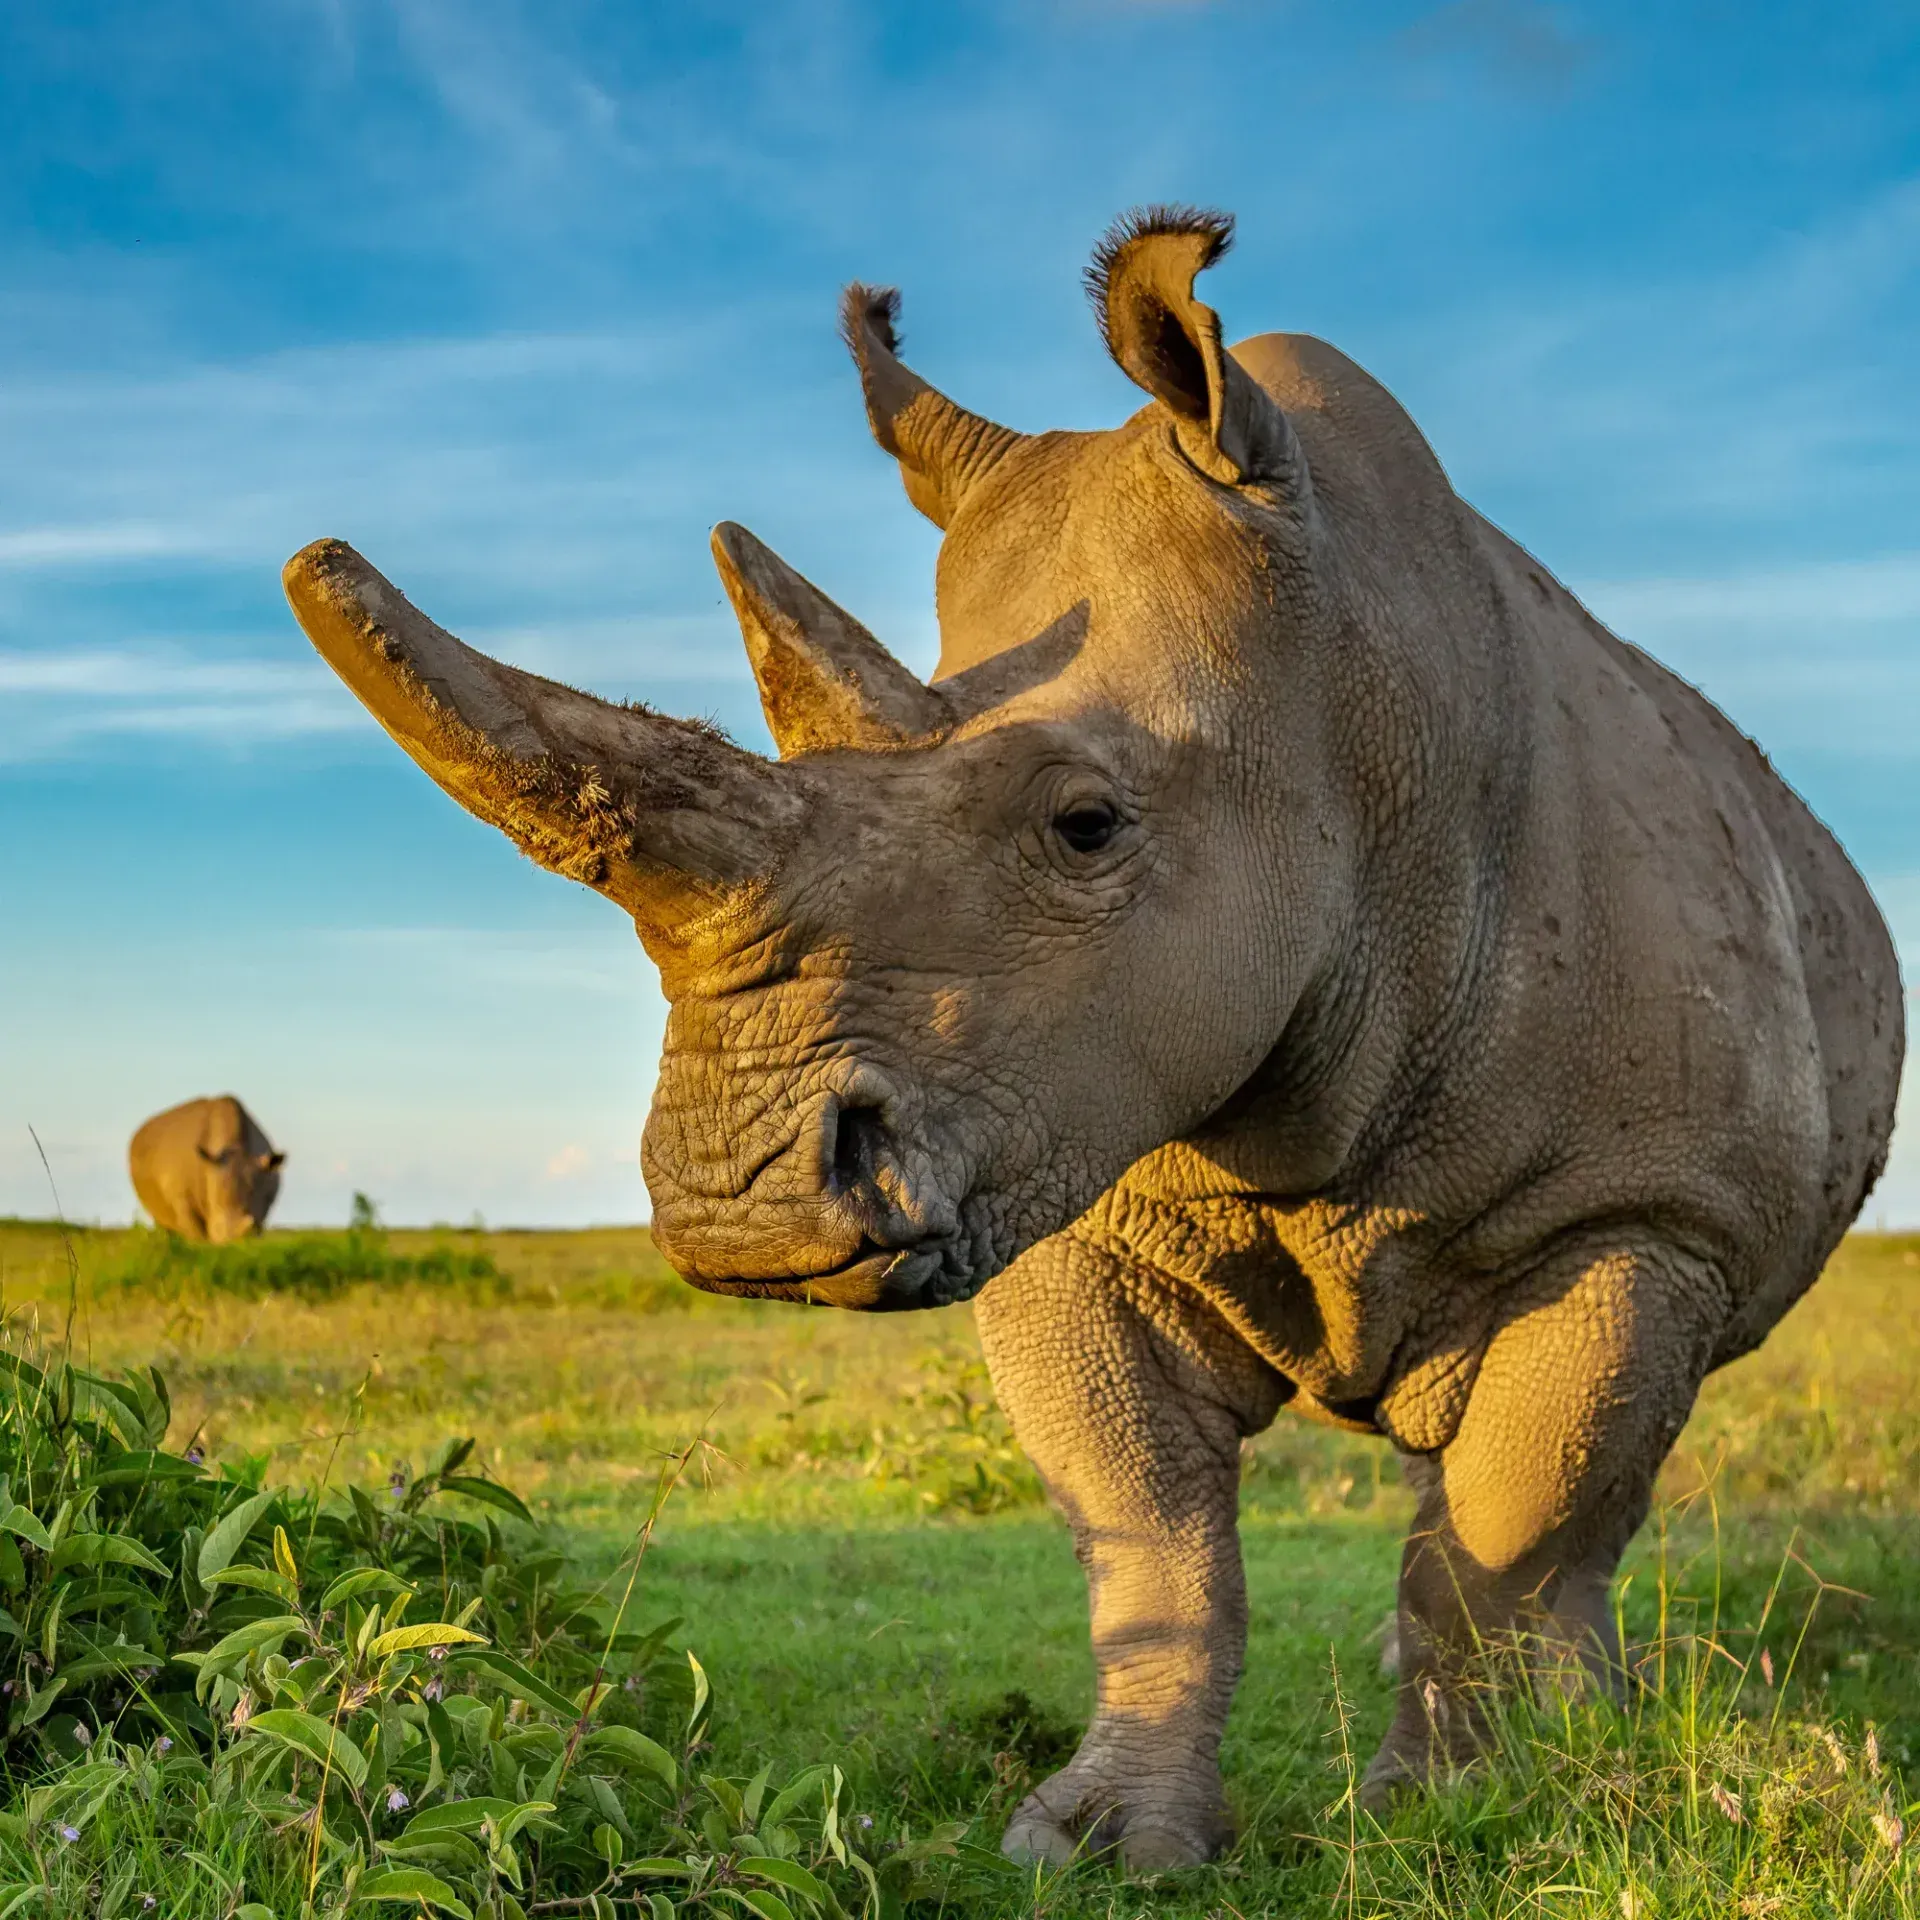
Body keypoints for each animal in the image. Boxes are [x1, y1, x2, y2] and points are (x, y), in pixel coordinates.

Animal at [283, 207, 1903, 1869]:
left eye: (1086, 825)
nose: (742, 1214)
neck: (1357, 710)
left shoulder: (1644, 1210)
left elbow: (1518, 1518)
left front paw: (1459, 1814)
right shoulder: (1057, 1153)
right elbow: (1150, 1535)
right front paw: (1098, 1845)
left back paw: (1578, 1727)